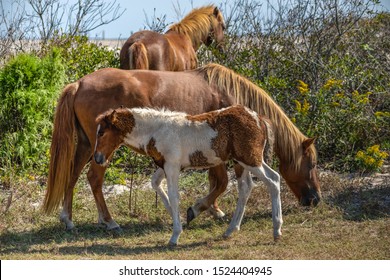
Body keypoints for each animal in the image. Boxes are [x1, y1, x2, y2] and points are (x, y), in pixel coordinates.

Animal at [94, 104, 284, 245]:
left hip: (250, 159)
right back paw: (231, 230)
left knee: (272, 181)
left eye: (102, 133)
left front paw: (175, 235)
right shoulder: (167, 166)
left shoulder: (172, 166)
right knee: (248, 186)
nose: (97, 158)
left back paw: (276, 230)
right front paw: (177, 216)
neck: (157, 131)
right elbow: (156, 183)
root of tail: (258, 118)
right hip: (244, 161)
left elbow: (174, 195)